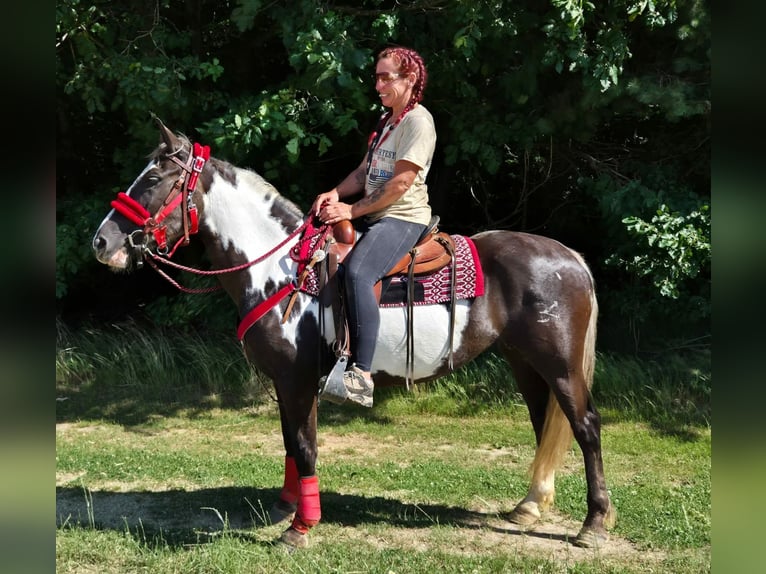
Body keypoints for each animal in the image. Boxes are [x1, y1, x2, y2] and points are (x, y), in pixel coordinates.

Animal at [91, 118, 615, 549]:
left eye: (153, 179)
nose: (102, 242)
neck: (282, 271)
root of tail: (570, 257)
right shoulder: (286, 382)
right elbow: (291, 441)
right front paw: (287, 506)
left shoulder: (298, 379)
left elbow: (304, 445)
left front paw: (300, 528)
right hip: (523, 361)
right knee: (544, 422)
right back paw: (530, 505)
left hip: (560, 365)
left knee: (586, 426)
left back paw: (593, 523)